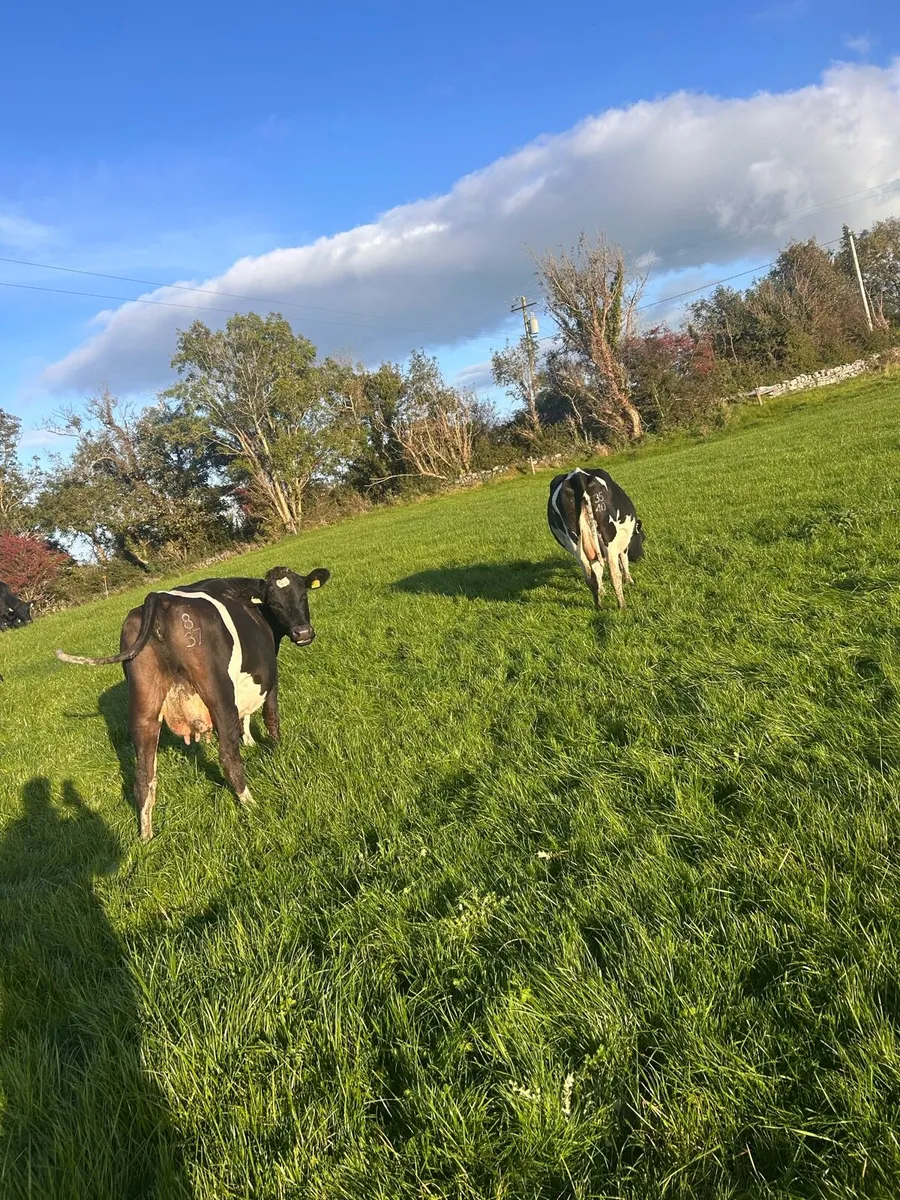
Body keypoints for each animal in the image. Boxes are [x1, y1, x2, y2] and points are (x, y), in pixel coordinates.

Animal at [56, 565, 330, 840]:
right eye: (274, 602)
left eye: (303, 594)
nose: (303, 632)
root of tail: (159, 598)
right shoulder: (269, 677)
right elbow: (270, 716)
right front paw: (275, 748)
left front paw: (251, 741)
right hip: (219, 694)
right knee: (228, 756)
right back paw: (252, 805)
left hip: (144, 705)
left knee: (143, 775)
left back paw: (146, 837)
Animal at [547, 468, 644, 609]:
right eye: (642, 539)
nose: (642, 557)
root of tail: (577, 476)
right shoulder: (622, 545)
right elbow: (623, 561)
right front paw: (629, 581)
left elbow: (597, 571)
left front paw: (602, 591)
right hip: (608, 539)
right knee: (614, 574)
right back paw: (622, 606)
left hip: (576, 545)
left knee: (589, 577)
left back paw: (599, 605)